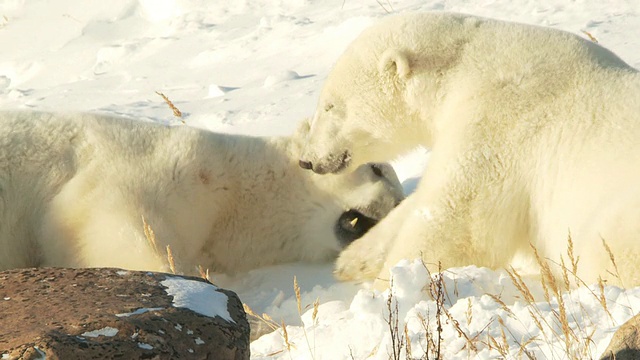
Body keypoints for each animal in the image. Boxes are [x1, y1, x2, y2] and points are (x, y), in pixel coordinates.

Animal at [298, 11, 640, 288]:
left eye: (330, 106)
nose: (307, 160)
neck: (461, 71)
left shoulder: (499, 120)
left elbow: (457, 221)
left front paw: (391, 286)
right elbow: (424, 200)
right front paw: (353, 261)